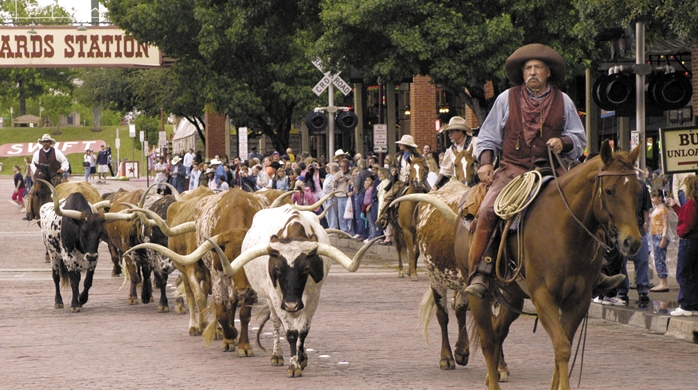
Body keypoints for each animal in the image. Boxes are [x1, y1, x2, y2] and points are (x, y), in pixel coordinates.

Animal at [454, 141, 640, 390]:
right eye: (609, 191)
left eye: (637, 190)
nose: (632, 241)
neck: (565, 231)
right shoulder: (544, 298)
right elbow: (561, 346)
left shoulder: (578, 301)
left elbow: (563, 345)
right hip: (477, 292)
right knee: (488, 340)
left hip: (512, 296)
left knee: (498, 331)